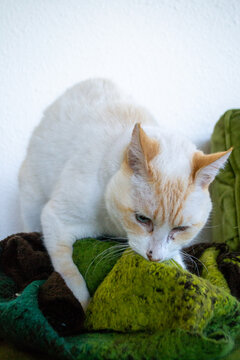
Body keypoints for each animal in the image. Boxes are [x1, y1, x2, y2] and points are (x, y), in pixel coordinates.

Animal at [17, 80, 232, 310]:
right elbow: (70, 276)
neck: (115, 226)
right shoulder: (56, 220)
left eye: (180, 229)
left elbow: (179, 265)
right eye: (142, 219)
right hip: (31, 205)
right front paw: (85, 309)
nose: (153, 258)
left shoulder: (171, 251)